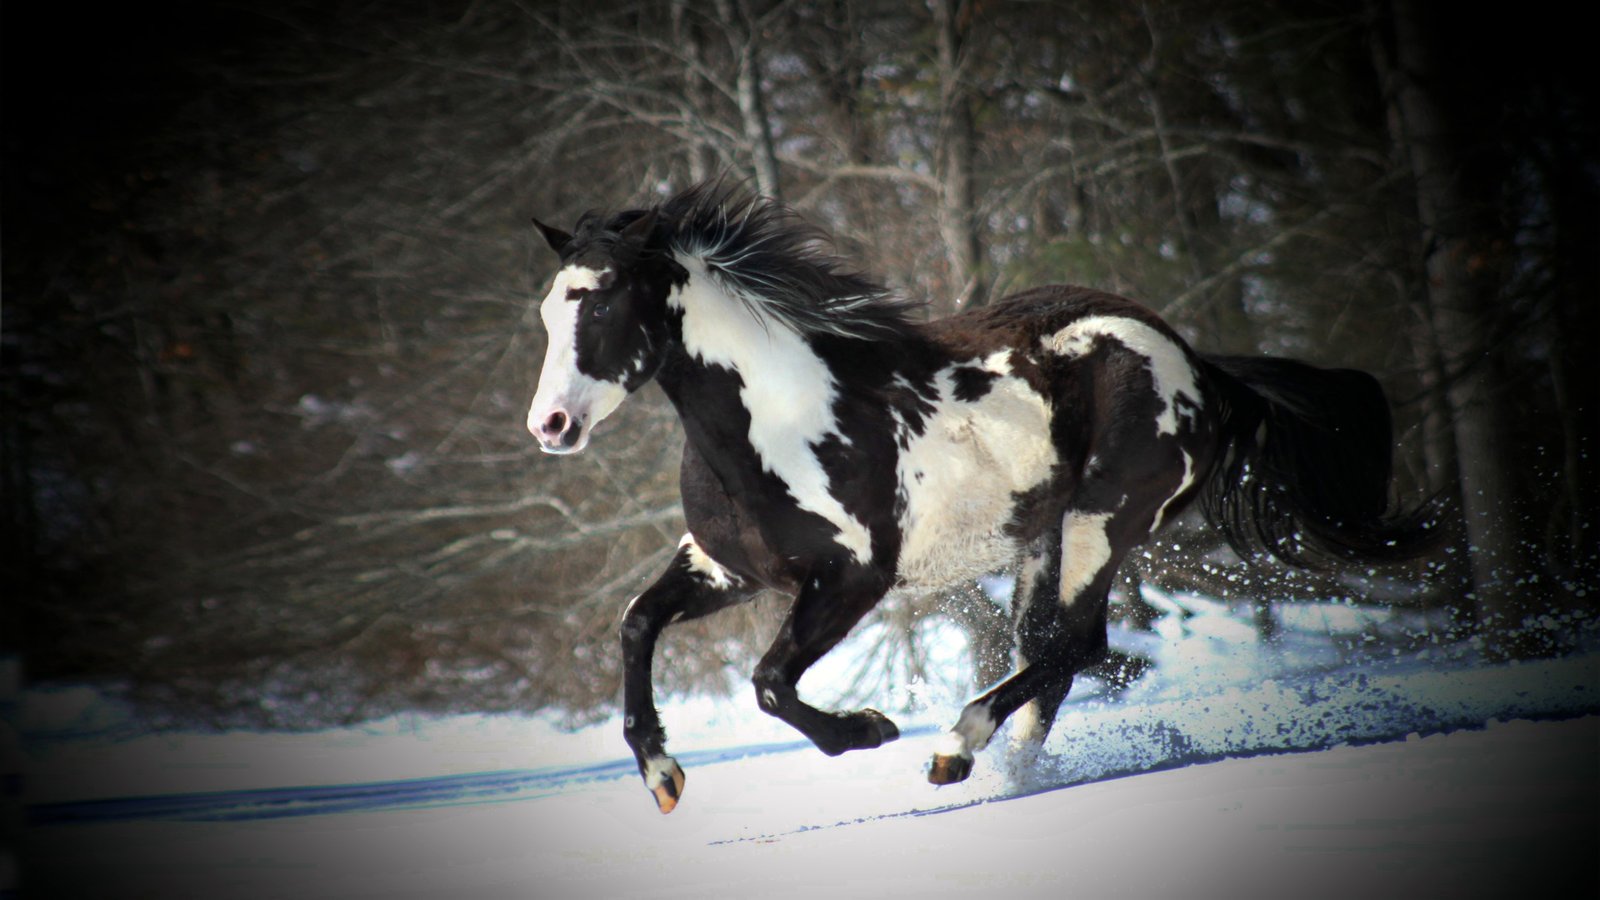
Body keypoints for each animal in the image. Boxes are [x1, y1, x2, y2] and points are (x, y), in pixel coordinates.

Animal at [524, 178, 1440, 810]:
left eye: (600, 300)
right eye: (545, 310)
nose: (551, 425)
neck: (782, 419)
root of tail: (1196, 366)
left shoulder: (852, 579)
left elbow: (770, 683)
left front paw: (871, 729)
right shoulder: (728, 568)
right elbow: (637, 625)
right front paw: (663, 775)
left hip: (1102, 522)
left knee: (1075, 645)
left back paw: (957, 748)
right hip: (1043, 537)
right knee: (1052, 652)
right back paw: (1009, 771)